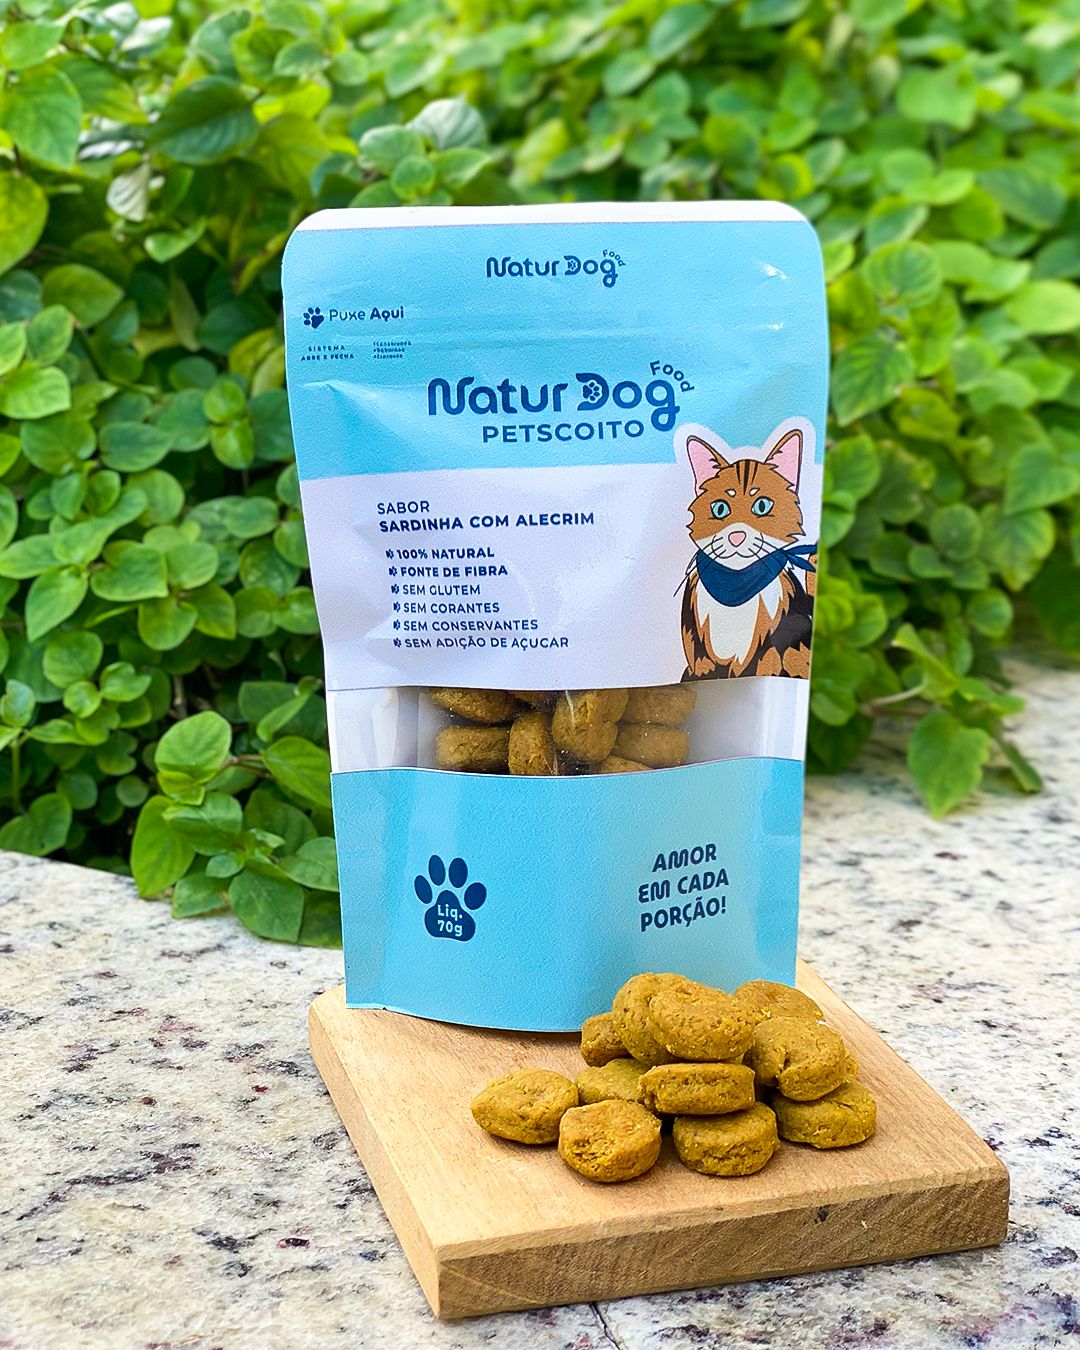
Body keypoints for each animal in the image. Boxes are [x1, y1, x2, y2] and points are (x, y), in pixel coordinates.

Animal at [680, 422, 816, 680]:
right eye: (720, 509)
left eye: (762, 506)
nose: (736, 536)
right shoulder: (694, 628)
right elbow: (699, 656)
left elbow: (766, 658)